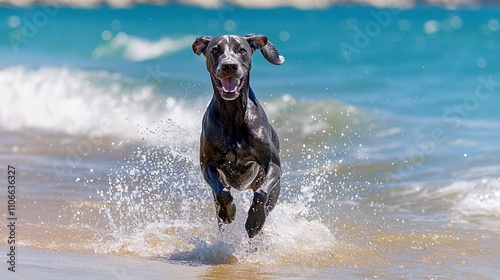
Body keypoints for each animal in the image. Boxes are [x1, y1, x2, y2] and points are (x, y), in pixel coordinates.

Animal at [192, 34, 284, 237]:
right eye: (215, 50)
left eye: (242, 50)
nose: (229, 66)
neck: (233, 115)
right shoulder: (207, 165)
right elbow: (222, 192)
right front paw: (229, 212)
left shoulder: (273, 165)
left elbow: (261, 194)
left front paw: (254, 222)